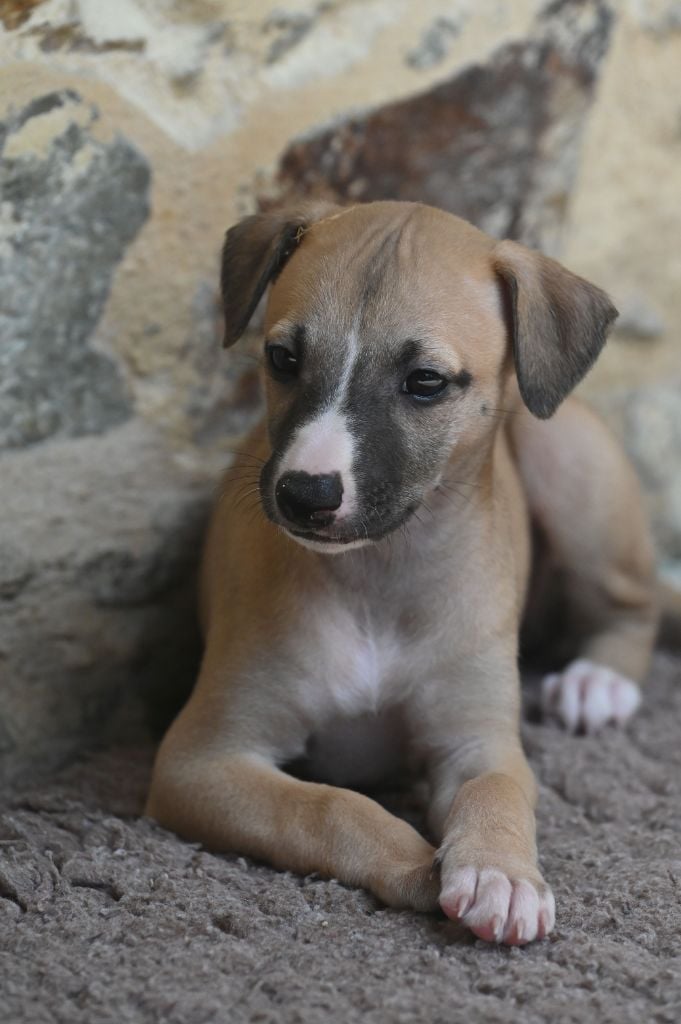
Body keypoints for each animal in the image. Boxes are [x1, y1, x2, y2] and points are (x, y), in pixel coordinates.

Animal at [146, 200, 658, 946]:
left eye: (425, 382)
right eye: (282, 358)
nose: (305, 494)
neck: (379, 578)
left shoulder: (478, 742)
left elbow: (497, 793)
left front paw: (501, 873)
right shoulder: (201, 761)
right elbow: (327, 807)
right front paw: (419, 862)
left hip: (568, 462)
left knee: (633, 602)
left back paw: (597, 683)